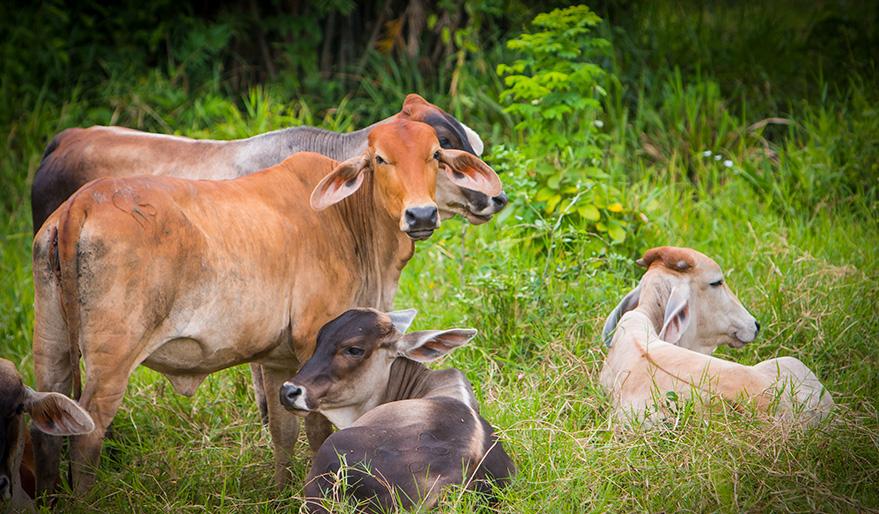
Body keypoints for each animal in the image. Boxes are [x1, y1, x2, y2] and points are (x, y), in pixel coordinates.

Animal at [31, 120, 502, 492]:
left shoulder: (278, 362)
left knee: (47, 427)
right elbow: (316, 429)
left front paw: (279, 492)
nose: (421, 215)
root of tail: (80, 206)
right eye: (380, 159)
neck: (348, 217)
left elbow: (282, 431)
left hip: (52, 348)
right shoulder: (313, 342)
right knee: (87, 435)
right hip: (113, 359)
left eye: (435, 154)